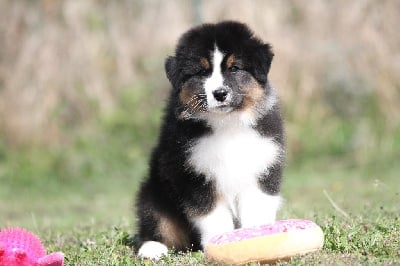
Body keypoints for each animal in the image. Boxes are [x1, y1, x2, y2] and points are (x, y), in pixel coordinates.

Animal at [135, 21, 284, 260]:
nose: (220, 93)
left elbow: (256, 208)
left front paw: (257, 238)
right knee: (157, 219)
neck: (226, 123)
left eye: (234, 68)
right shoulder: (194, 174)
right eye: (202, 72)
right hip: (153, 191)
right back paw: (153, 248)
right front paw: (219, 242)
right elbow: (211, 214)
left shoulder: (262, 166)